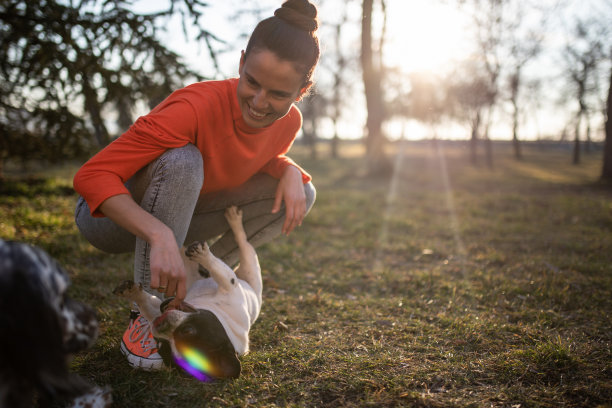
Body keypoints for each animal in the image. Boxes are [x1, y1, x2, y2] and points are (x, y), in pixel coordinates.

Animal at [113, 207, 262, 380]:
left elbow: (220, 272)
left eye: (187, 331)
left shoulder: (229, 287)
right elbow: (145, 303)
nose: (159, 324)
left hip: (251, 268)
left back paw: (234, 221)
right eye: (161, 344)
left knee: (243, 243)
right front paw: (132, 292)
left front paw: (203, 256)